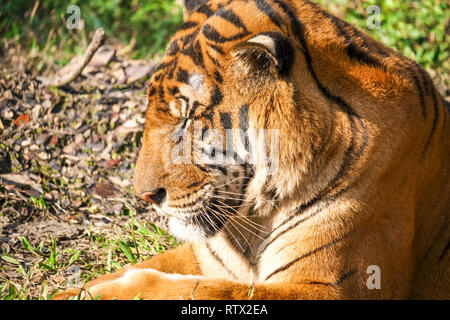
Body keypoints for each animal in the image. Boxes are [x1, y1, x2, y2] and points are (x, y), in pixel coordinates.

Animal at [54, 0, 448, 300]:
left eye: (189, 118)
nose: (146, 196)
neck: (253, 220)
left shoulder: (329, 288)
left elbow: (197, 289)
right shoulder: (204, 254)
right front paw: (71, 290)